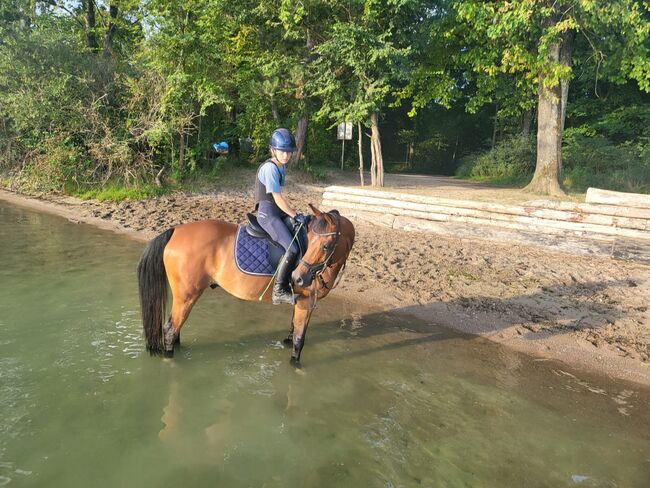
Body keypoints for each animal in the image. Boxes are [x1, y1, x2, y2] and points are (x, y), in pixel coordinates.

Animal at [136, 203, 354, 366]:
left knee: (175, 329)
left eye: (326, 246)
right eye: (312, 241)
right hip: (187, 297)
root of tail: (174, 230)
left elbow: (293, 328)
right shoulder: (306, 302)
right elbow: (299, 339)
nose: (297, 278)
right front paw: (295, 365)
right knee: (170, 330)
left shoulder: (299, 301)